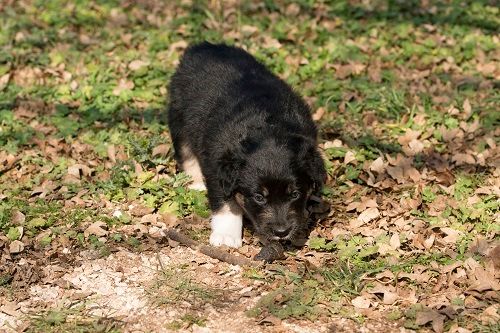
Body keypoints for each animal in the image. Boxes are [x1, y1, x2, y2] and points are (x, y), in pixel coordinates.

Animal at [166, 41, 326, 260]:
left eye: (295, 194)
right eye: (259, 197)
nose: (281, 232)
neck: (268, 127)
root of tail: (203, 46)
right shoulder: (217, 167)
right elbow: (226, 202)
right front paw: (226, 236)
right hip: (178, 116)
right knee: (186, 152)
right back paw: (196, 183)